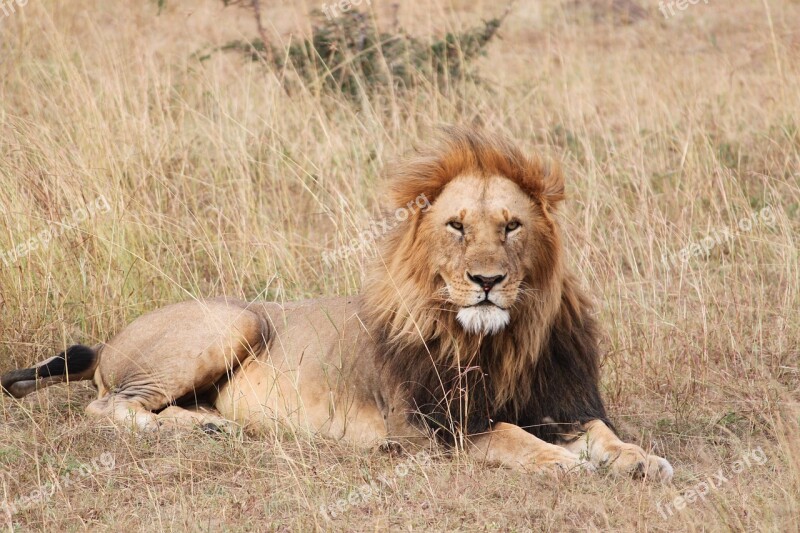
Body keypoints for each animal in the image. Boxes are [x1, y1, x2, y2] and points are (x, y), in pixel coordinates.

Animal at [1, 128, 676, 478]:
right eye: (457, 226)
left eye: (511, 226)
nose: (487, 280)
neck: (500, 338)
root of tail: (109, 340)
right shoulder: (433, 426)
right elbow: (511, 437)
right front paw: (564, 464)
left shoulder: (558, 403)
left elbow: (600, 433)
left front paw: (641, 460)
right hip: (232, 320)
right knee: (107, 406)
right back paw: (212, 426)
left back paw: (213, 423)